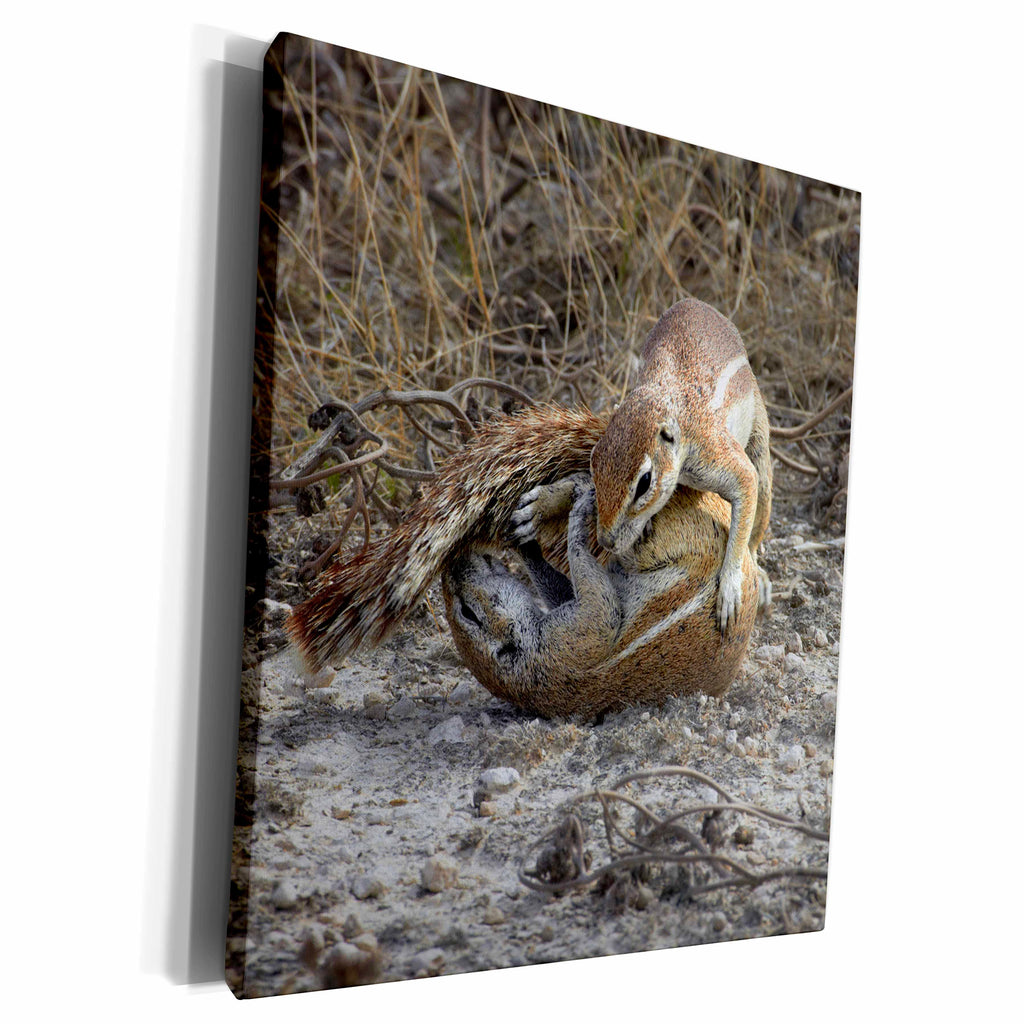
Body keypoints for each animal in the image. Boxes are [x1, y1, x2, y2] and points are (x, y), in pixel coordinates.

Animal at [286, 403, 758, 718]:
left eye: (465, 611)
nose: (452, 568)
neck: (528, 675)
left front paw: (524, 538)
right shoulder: (578, 634)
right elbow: (595, 595)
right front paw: (551, 530)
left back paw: (556, 498)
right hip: (651, 535)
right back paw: (574, 498)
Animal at [589, 298, 772, 631]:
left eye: (644, 482)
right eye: (593, 465)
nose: (606, 541)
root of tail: (696, 301)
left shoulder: (719, 456)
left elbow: (741, 521)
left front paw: (729, 589)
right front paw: (647, 523)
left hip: (760, 445)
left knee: (756, 527)